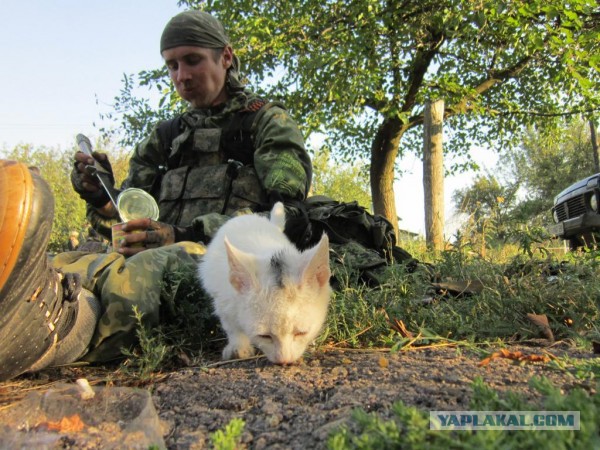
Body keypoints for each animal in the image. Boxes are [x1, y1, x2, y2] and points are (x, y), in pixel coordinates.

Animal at [200, 204, 332, 366]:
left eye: (301, 333)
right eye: (264, 336)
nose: (284, 361)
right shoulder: (223, 298)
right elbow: (231, 325)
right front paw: (238, 347)